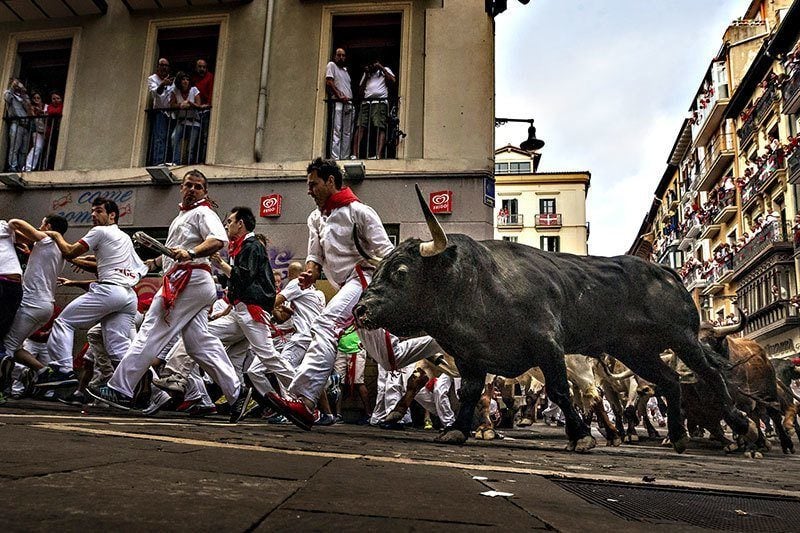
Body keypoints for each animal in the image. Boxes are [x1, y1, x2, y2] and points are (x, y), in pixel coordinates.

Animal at [352, 185, 756, 450]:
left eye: (401, 272)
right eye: (379, 270)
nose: (360, 309)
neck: (474, 283)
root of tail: (666, 273)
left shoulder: (547, 345)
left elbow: (559, 390)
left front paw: (581, 437)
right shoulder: (470, 356)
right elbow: (469, 392)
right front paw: (457, 430)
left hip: (682, 338)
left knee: (710, 374)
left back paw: (743, 430)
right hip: (634, 349)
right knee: (670, 380)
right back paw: (677, 436)